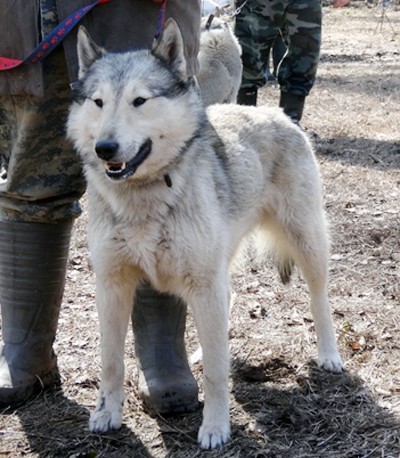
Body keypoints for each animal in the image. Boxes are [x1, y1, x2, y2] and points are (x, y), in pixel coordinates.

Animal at [67, 19, 344, 450]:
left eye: (140, 101)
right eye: (98, 102)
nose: (104, 148)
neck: (145, 197)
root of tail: (277, 112)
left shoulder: (203, 284)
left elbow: (216, 373)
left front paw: (215, 428)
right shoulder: (112, 285)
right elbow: (110, 361)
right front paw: (106, 414)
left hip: (307, 246)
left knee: (320, 300)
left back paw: (329, 354)